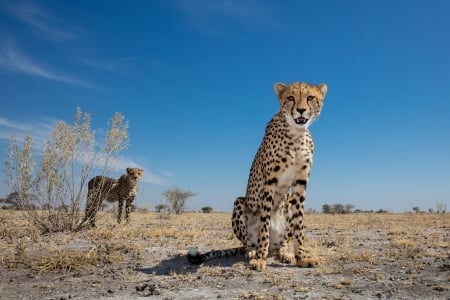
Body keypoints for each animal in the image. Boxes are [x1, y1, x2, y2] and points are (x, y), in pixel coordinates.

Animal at [187, 81, 326, 270]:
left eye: (310, 97)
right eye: (291, 98)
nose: (301, 110)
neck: (296, 133)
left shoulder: (301, 181)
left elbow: (299, 222)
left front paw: (302, 257)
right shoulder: (270, 180)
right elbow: (264, 223)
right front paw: (260, 257)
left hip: (287, 202)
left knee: (283, 241)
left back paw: (284, 252)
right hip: (239, 203)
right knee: (248, 242)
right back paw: (253, 251)